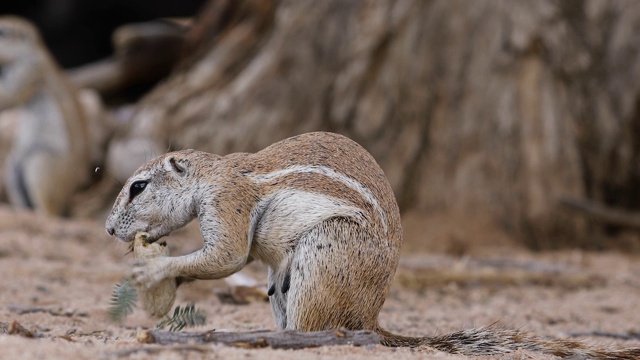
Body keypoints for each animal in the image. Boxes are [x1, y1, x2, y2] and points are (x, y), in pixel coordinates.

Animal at [0, 16, 95, 215]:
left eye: (2, 32)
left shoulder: (29, 69)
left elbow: (9, 94)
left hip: (41, 161)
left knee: (51, 210)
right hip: (13, 167)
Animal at [106, 132, 640, 358]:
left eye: (138, 187)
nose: (110, 231)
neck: (211, 174)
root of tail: (372, 317)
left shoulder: (228, 203)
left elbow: (226, 256)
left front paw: (152, 270)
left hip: (327, 249)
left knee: (320, 332)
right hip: (282, 283)